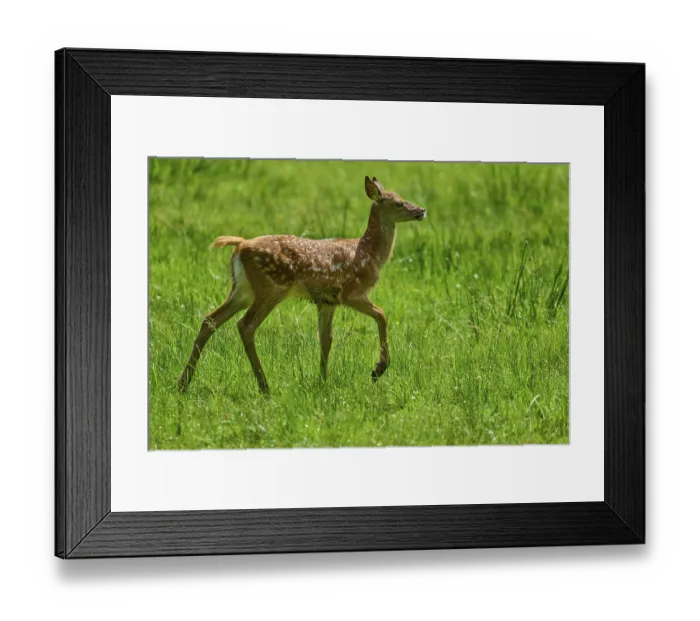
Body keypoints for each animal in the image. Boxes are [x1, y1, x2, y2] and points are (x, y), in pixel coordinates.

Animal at [178, 176, 427, 394]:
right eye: (398, 203)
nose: (421, 210)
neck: (370, 254)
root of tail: (240, 245)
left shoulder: (327, 301)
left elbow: (326, 339)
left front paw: (323, 380)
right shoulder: (352, 292)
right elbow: (382, 315)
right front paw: (378, 369)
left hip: (243, 290)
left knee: (210, 319)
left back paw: (183, 383)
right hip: (272, 287)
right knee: (245, 325)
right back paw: (264, 386)